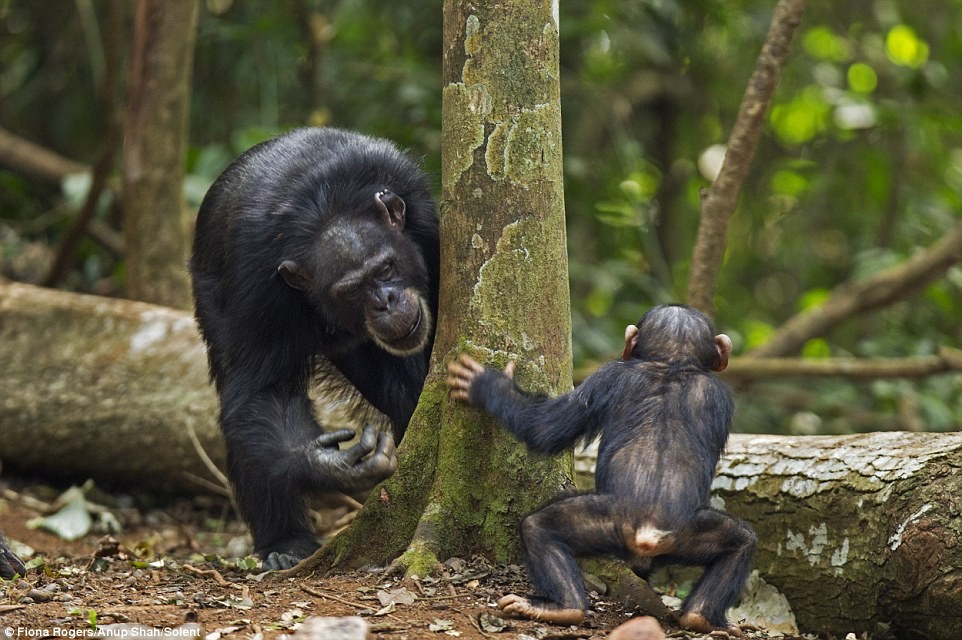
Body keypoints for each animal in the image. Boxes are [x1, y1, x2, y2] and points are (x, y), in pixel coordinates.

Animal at [191, 125, 438, 568]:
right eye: (352, 291)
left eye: (385, 269)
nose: (385, 301)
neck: (323, 206)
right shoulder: (257, 281)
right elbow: (264, 391)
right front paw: (332, 466)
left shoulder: (427, 224)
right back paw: (285, 542)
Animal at [446, 304, 752, 636]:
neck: (672, 363)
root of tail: (648, 530)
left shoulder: (604, 376)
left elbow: (545, 429)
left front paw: (485, 384)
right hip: (679, 532)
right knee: (741, 543)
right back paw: (702, 618)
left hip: (609, 521)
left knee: (538, 527)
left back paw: (561, 606)